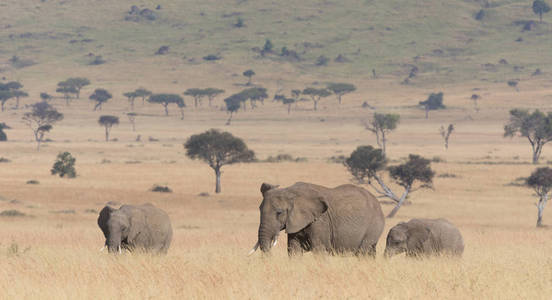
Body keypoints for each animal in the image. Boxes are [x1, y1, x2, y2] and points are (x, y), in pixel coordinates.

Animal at [249, 182, 384, 256]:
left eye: (279, 212)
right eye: (259, 210)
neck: (291, 192)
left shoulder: (320, 220)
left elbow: (319, 249)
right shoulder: (295, 221)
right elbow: (293, 249)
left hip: (374, 226)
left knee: (364, 252)